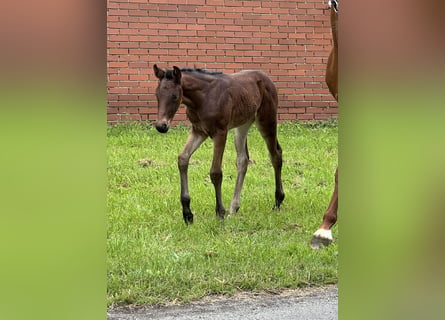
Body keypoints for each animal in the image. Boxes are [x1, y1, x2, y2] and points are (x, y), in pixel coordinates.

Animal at [153, 64, 284, 225]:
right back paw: (233, 208)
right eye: (157, 95)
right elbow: (183, 159)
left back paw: (278, 201)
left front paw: (219, 212)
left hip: (267, 120)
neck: (203, 98)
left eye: (175, 96)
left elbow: (215, 172)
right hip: (243, 125)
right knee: (243, 160)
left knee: (275, 155)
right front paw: (187, 214)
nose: (161, 126)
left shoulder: (220, 133)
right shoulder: (198, 131)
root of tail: (267, 78)